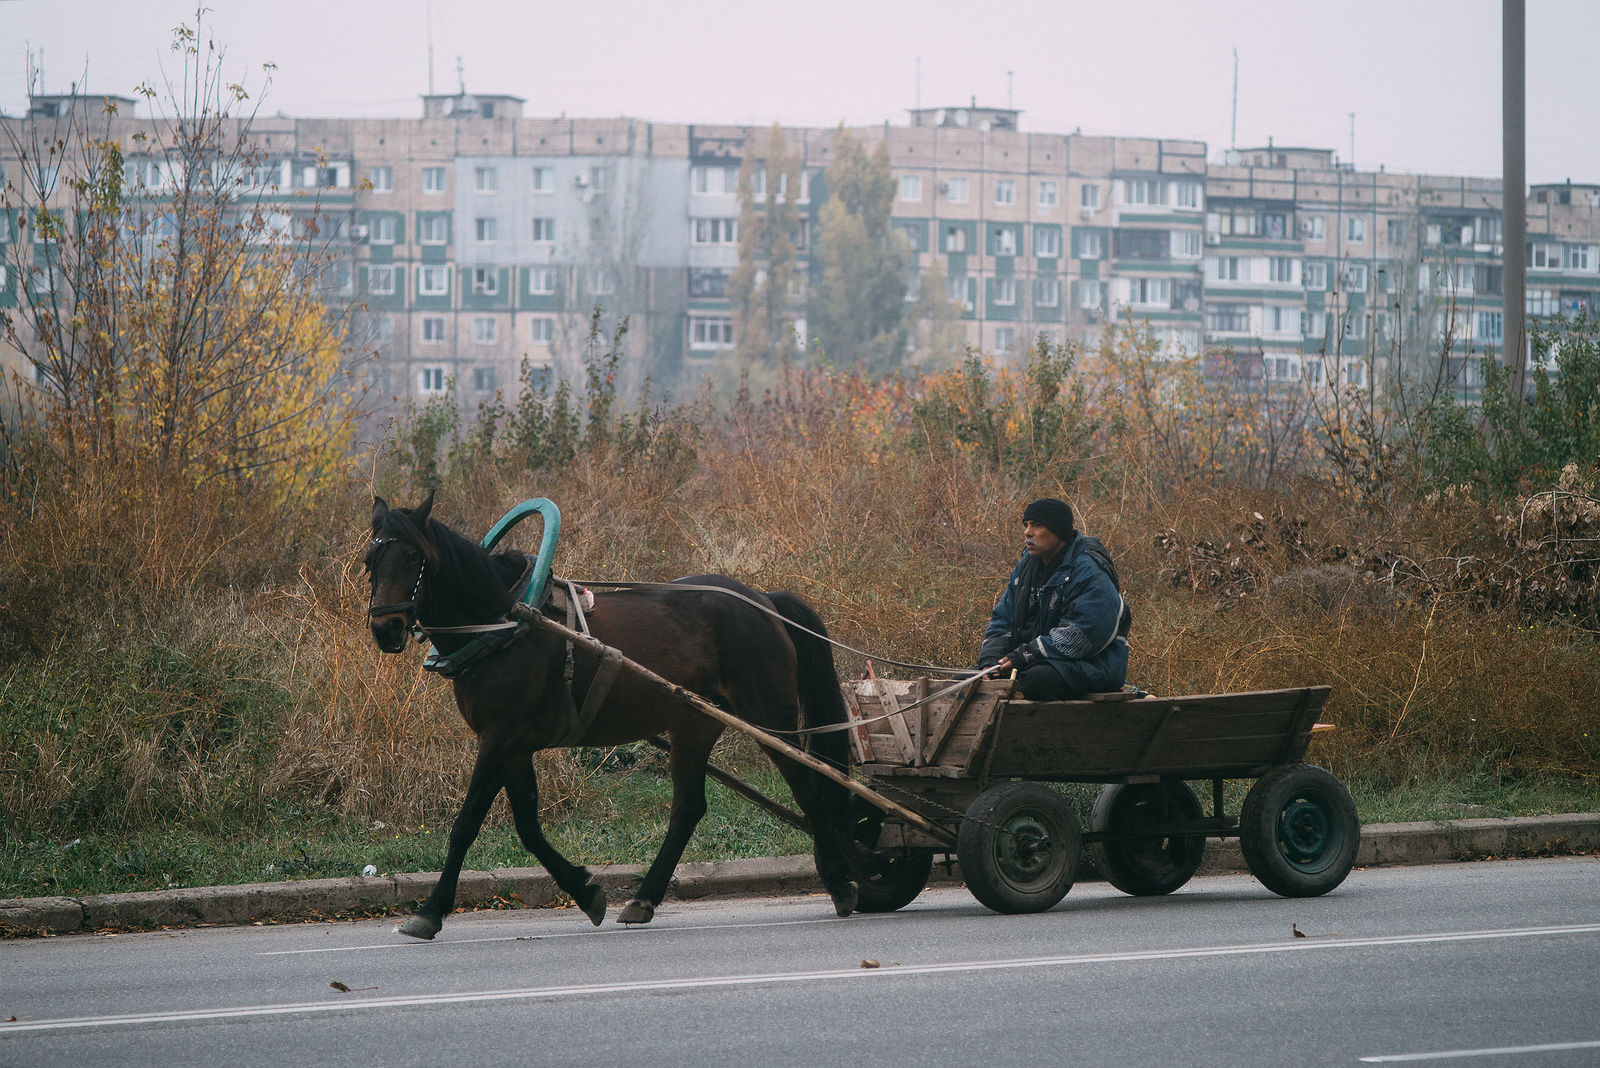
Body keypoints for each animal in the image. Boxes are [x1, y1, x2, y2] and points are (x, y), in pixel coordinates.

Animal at [363, 495, 864, 940]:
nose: (385, 628)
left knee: (809, 785)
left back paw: (842, 881)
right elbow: (528, 827)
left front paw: (430, 910)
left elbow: (466, 824)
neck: (504, 623)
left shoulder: (499, 739)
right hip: (694, 724)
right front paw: (585, 892)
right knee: (688, 809)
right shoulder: (514, 745)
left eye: (412, 556)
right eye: (371, 559)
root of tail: (763, 600)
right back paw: (644, 897)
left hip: (767, 716)